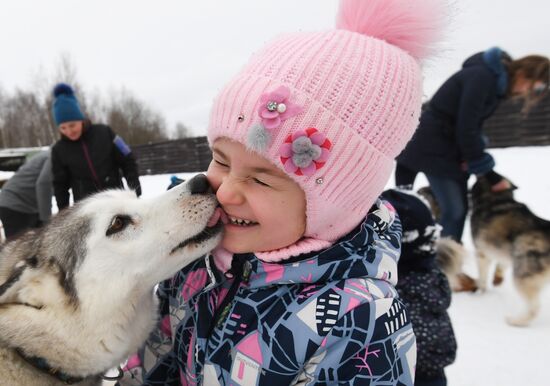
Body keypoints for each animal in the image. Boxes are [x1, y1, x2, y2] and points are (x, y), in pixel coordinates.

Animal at [472, 176, 550, 326]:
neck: (498, 198)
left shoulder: (481, 253)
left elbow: (482, 278)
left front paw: (480, 292)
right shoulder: (504, 252)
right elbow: (501, 265)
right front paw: (497, 279)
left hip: (522, 276)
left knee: (534, 308)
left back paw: (515, 321)